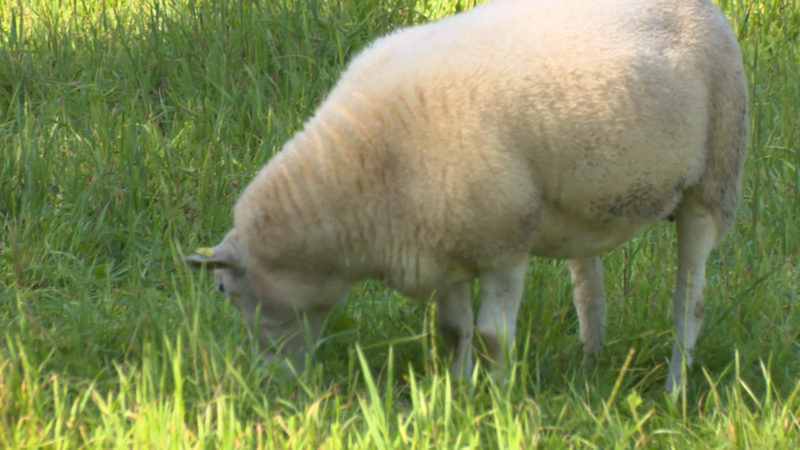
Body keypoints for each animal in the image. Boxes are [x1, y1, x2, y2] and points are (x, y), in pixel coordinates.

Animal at [189, 0, 752, 390]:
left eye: (222, 290)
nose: (266, 387)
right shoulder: (443, 245)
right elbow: (453, 328)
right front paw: (458, 392)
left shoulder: (504, 243)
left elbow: (492, 335)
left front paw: (498, 398)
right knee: (587, 282)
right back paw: (591, 358)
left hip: (713, 179)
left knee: (690, 300)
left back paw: (675, 385)